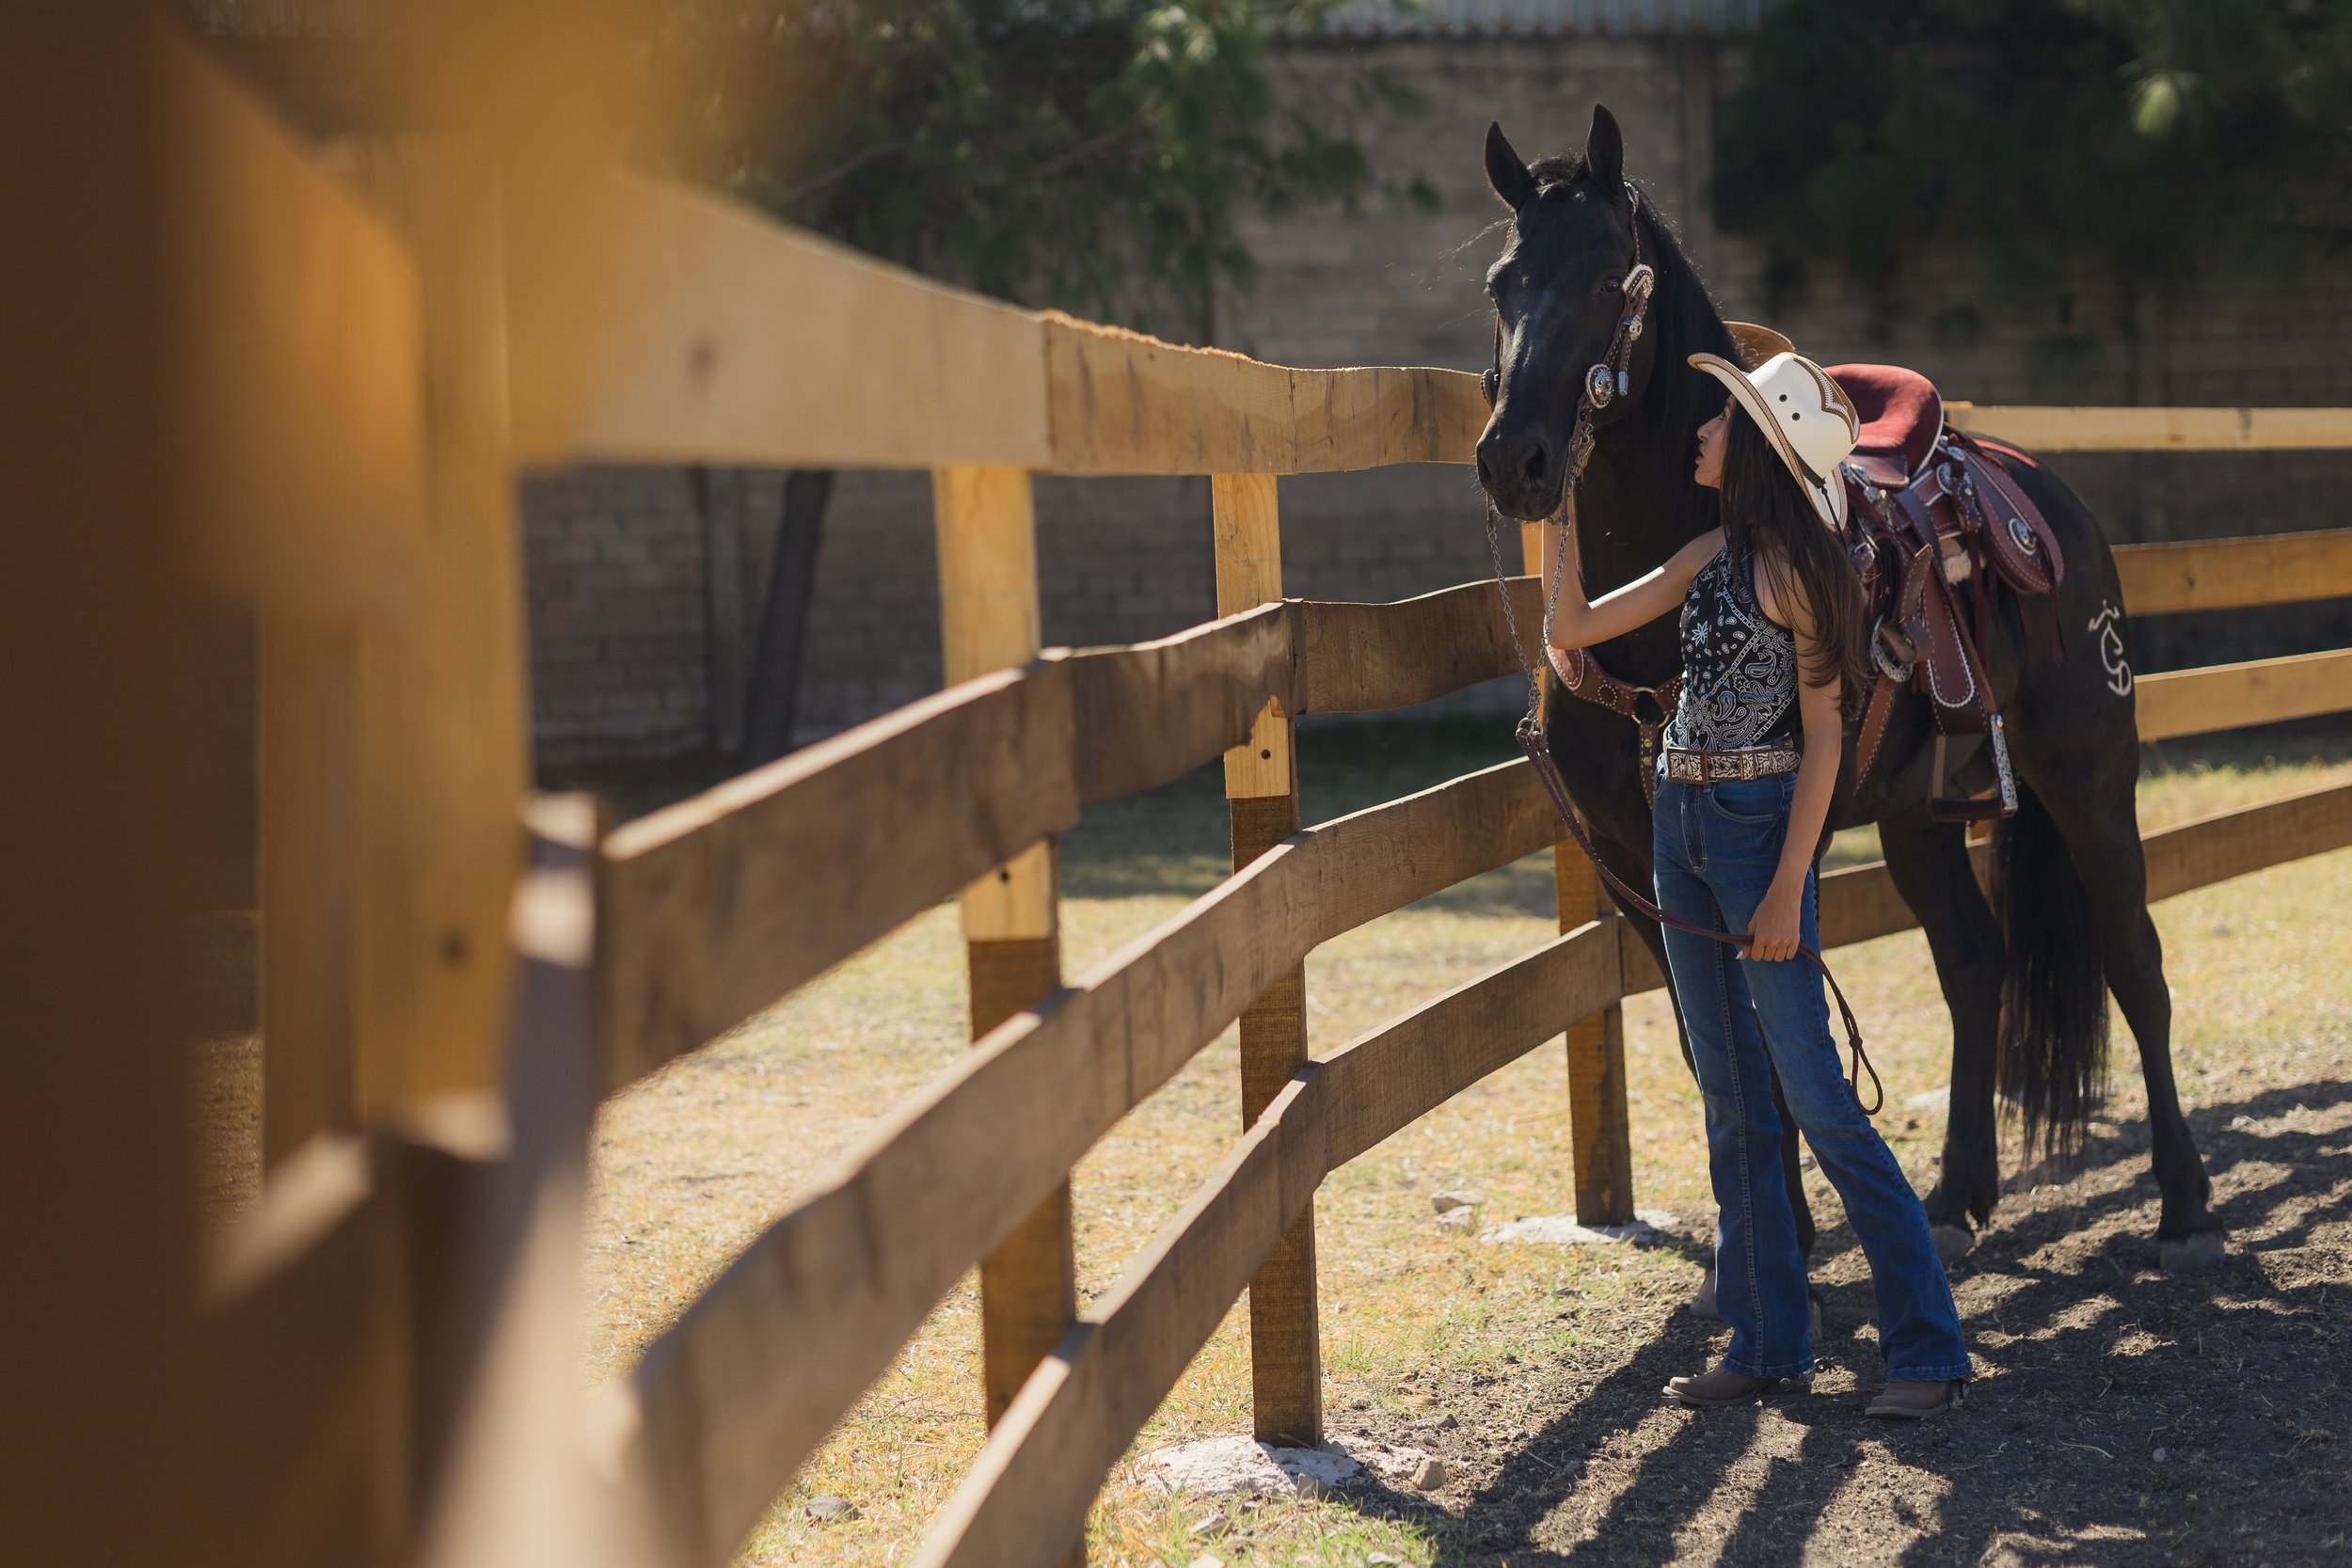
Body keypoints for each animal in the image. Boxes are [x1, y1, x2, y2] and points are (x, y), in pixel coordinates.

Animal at [1472, 105, 2225, 1274]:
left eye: (1605, 277)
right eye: (1502, 283)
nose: (1516, 459)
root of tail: (2032, 483)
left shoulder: (1775, 855)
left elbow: (1770, 1045)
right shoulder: (1639, 871)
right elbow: (1712, 1050)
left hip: (2089, 777)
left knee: (2132, 960)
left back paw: (2183, 1199)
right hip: (1919, 813)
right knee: (1974, 961)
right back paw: (1958, 1193)